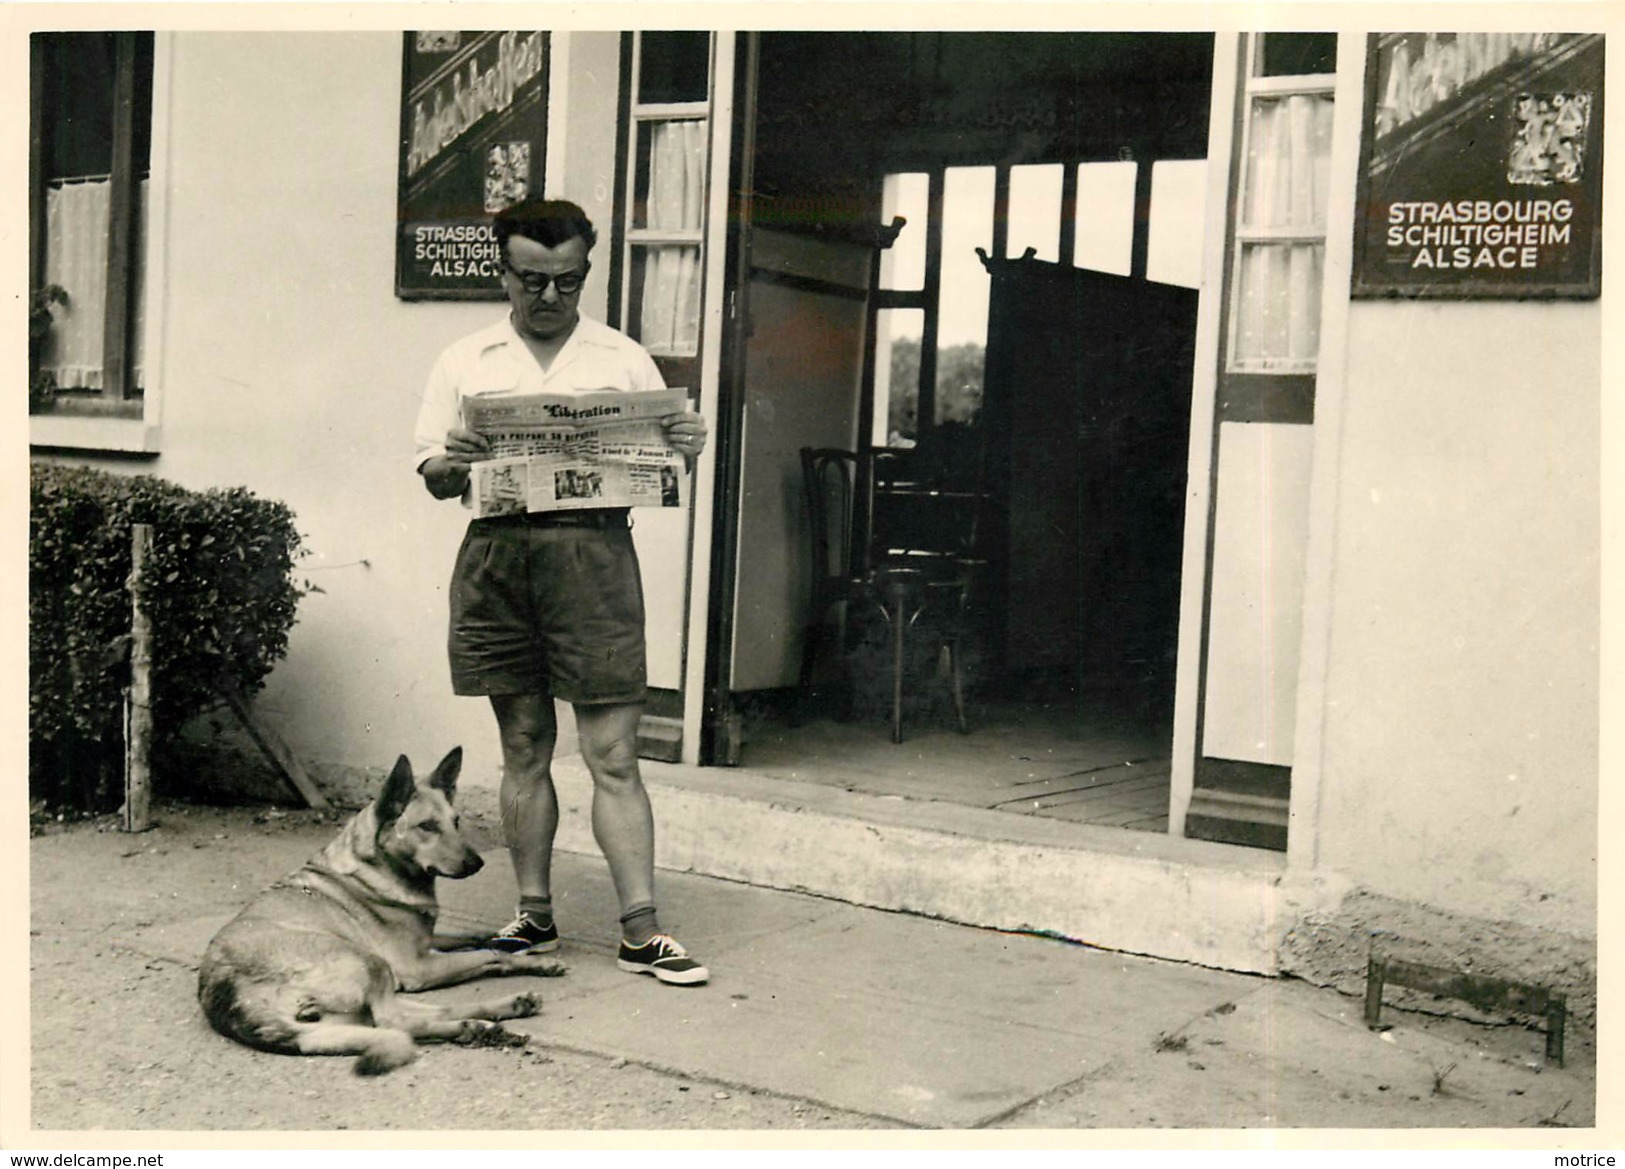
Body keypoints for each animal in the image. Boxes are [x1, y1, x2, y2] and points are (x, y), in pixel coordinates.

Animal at [201, 754, 565, 1073]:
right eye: (427, 826)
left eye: (456, 822)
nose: (477, 863)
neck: (372, 864)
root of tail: (226, 991)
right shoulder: (418, 967)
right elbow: (489, 954)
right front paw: (526, 959)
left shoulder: (428, 945)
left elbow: (480, 940)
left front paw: (530, 956)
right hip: (372, 964)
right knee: (396, 1022)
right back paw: (477, 1025)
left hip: (367, 997)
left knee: (426, 1014)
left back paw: (497, 1013)